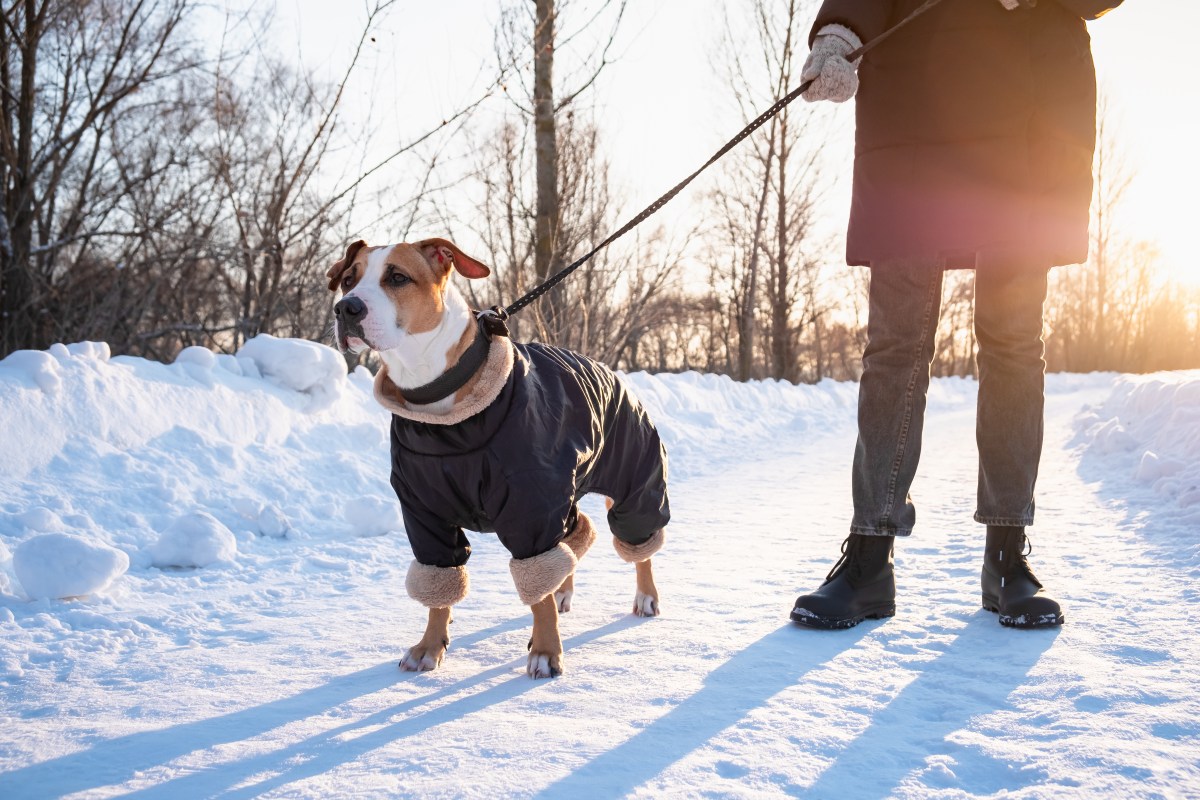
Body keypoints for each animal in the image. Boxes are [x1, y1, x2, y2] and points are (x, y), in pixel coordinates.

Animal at [324, 239, 672, 681]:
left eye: (397, 277)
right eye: (348, 280)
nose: (346, 309)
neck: (442, 413)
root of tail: (607, 369)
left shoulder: (531, 506)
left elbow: (536, 591)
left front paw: (546, 652)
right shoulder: (424, 514)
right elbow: (439, 584)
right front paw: (429, 646)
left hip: (634, 479)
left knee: (638, 539)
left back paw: (645, 596)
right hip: (568, 493)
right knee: (579, 532)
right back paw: (564, 590)